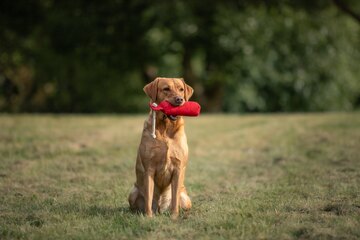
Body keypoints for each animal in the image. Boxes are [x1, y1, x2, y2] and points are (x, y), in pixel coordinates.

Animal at [128, 78, 193, 218]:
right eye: (166, 89)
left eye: (181, 89)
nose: (180, 99)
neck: (166, 128)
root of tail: (160, 208)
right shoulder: (149, 169)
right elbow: (148, 197)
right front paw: (148, 217)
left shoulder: (178, 168)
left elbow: (175, 199)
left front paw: (174, 217)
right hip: (133, 193)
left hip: (186, 198)